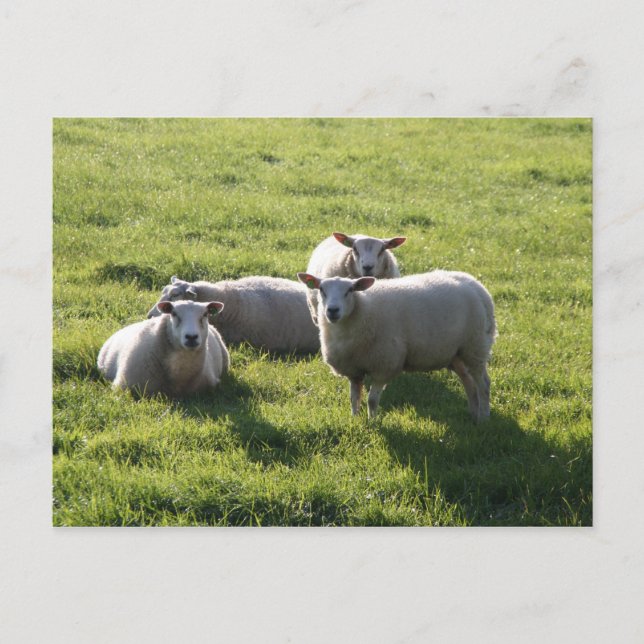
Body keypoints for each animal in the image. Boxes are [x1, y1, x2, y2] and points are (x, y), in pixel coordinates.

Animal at [297, 270, 496, 421]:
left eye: (350, 290)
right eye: (321, 289)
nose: (332, 310)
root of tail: (476, 285)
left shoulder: (385, 364)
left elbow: (371, 400)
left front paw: (372, 422)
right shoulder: (353, 370)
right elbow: (354, 398)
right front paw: (354, 419)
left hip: (475, 346)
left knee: (483, 384)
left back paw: (484, 418)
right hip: (457, 354)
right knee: (469, 383)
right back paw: (473, 415)